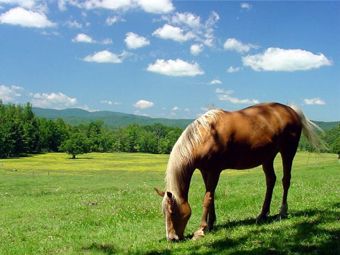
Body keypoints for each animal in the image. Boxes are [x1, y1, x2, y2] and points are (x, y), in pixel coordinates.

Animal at [155, 102, 324, 241]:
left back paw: (282, 212)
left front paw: (201, 229)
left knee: (285, 180)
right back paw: (262, 215)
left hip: (288, 151)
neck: (207, 135)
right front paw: (211, 224)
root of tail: (291, 110)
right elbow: (211, 196)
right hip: (267, 158)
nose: (172, 238)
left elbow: (207, 199)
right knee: (271, 180)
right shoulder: (205, 170)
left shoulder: (215, 170)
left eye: (172, 212)